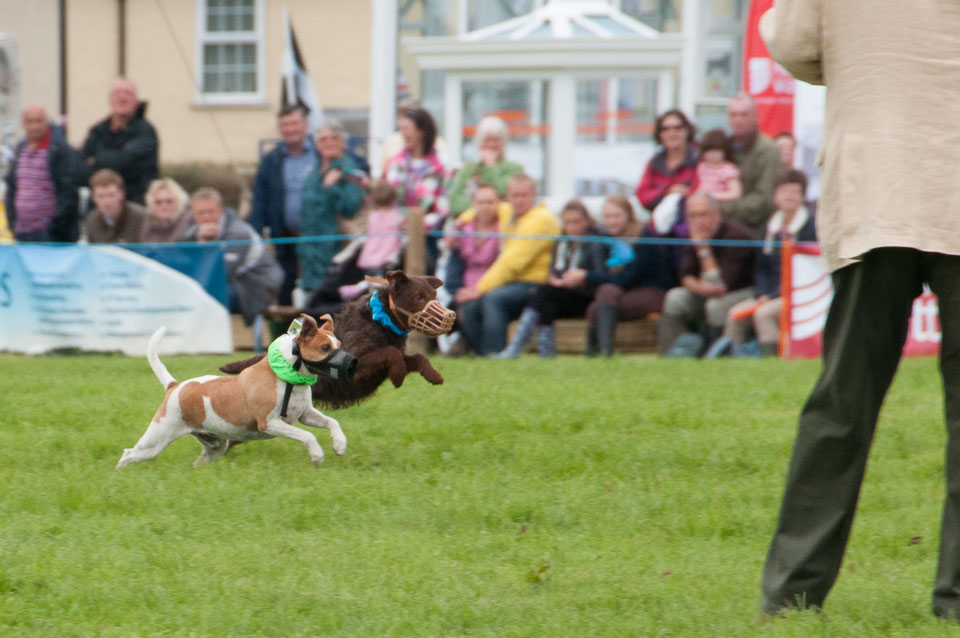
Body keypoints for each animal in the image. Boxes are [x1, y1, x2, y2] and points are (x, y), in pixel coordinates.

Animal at [116, 316, 348, 470]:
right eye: (325, 347)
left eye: (339, 344)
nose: (352, 361)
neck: (288, 377)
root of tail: (175, 386)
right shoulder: (270, 423)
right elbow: (307, 435)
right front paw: (317, 455)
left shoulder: (306, 415)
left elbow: (332, 422)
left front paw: (339, 444)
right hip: (156, 439)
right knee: (129, 453)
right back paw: (120, 475)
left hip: (215, 445)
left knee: (200, 460)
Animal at [221, 270, 454, 410]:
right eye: (418, 297)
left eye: (434, 296)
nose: (450, 317)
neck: (380, 320)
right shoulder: (356, 366)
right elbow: (391, 352)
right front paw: (398, 376)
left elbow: (417, 357)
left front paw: (433, 375)